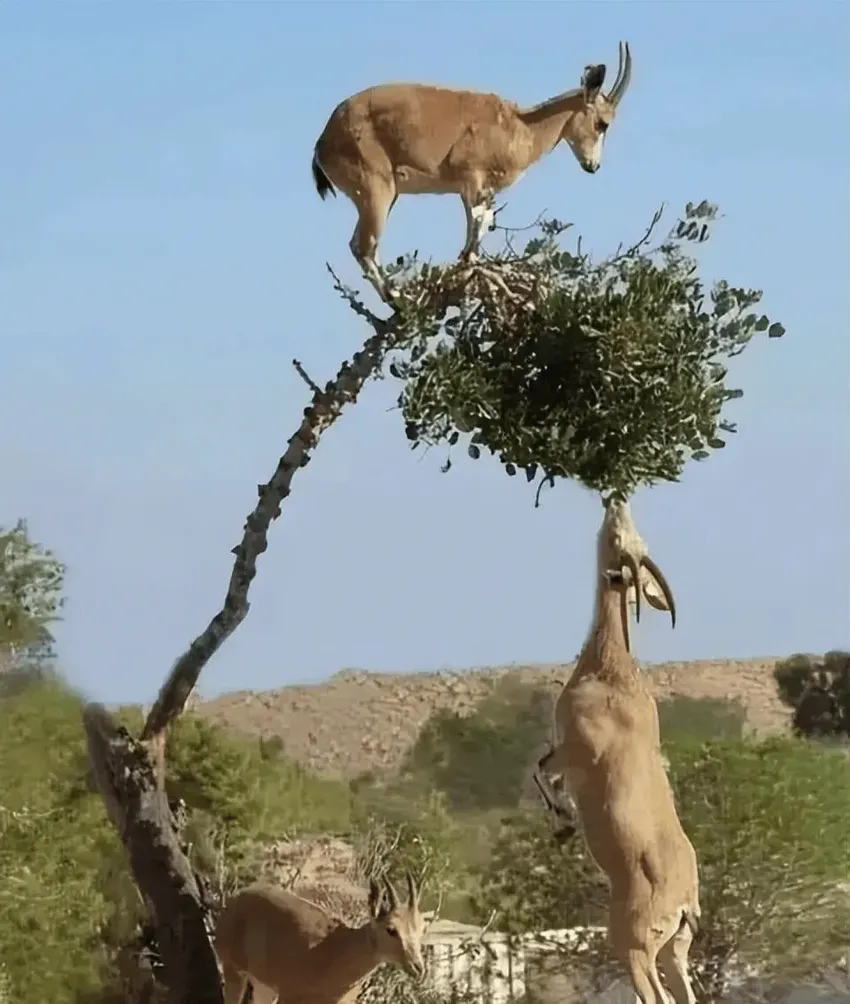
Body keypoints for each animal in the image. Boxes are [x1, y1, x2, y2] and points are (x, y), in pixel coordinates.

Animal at [311, 42, 630, 297]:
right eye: (602, 123)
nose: (593, 166)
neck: (521, 126)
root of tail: (323, 142)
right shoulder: (470, 180)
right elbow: (472, 240)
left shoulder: (480, 191)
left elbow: (474, 236)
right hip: (376, 191)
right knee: (363, 246)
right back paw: (400, 300)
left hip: (386, 196)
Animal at [533, 497, 702, 1003]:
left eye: (621, 539)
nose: (616, 502)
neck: (610, 672)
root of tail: (684, 904)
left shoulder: (573, 750)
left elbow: (538, 770)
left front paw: (565, 821)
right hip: (674, 950)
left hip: (635, 946)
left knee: (654, 994)